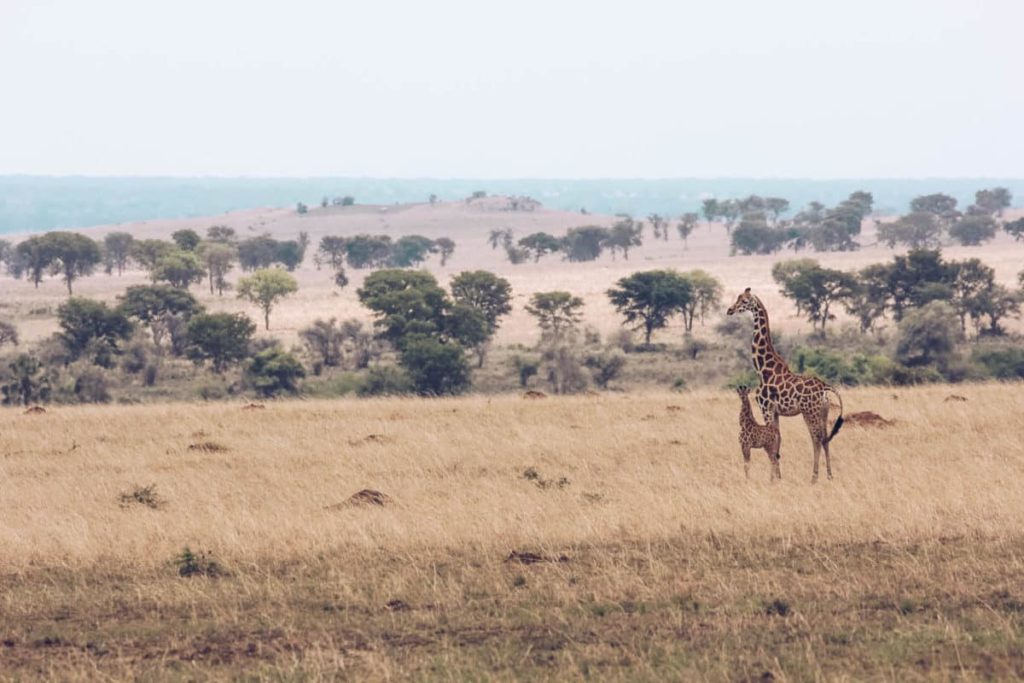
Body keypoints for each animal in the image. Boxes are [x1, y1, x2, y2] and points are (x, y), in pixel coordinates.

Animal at [729, 286, 847, 481]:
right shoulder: (776, 412)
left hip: (809, 412)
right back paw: (829, 476)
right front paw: (778, 476)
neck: (763, 369)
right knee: (825, 439)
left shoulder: (766, 408)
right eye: (737, 298)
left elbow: (773, 440)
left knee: (816, 439)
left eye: (744, 301)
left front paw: (773, 478)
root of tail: (825, 387)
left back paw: (814, 477)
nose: (730, 310)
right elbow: (779, 440)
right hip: (823, 412)